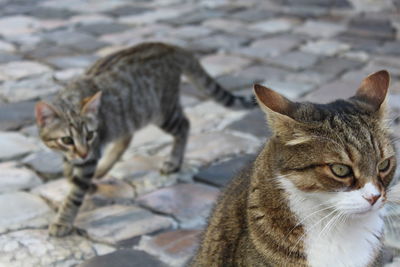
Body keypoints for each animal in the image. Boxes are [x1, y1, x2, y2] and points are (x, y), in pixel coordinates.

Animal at [33, 41, 253, 237]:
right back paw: (103, 169)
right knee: (127, 137)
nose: (83, 151)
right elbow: (70, 173)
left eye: (89, 135)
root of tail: (169, 46)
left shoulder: (90, 155)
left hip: (162, 111)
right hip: (130, 116)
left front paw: (62, 221)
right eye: (67, 140)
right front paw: (85, 183)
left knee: (184, 125)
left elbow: (74, 194)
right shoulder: (78, 155)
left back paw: (174, 161)